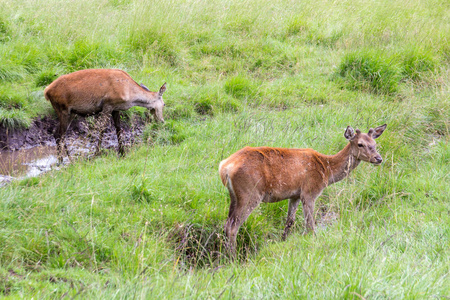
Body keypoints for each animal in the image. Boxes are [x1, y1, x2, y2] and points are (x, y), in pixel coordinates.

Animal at [219, 123, 386, 252]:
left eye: (374, 144)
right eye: (360, 144)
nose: (378, 158)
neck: (326, 171)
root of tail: (225, 167)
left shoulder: (294, 195)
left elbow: (289, 221)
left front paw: (283, 241)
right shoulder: (310, 191)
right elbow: (310, 224)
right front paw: (313, 239)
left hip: (234, 196)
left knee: (227, 224)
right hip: (250, 193)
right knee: (233, 227)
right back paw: (232, 257)